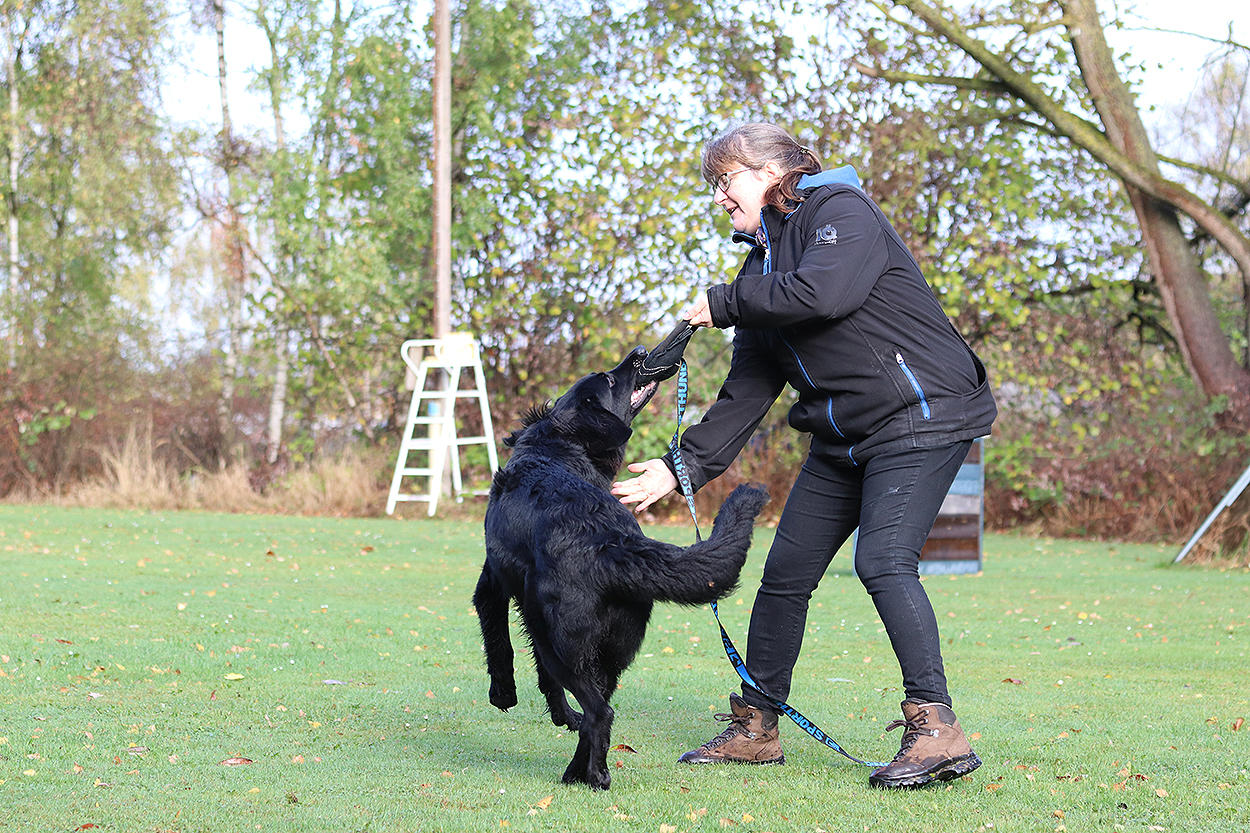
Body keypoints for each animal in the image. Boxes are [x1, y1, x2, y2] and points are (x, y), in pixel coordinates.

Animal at [472, 345, 769, 790]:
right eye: (611, 380)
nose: (641, 352)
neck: (557, 447)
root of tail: (610, 543)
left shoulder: (491, 584)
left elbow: (500, 644)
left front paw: (504, 694)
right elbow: (542, 676)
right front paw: (560, 715)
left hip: (563, 644)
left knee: (600, 711)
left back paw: (593, 775)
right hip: (609, 652)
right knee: (599, 709)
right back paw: (577, 770)